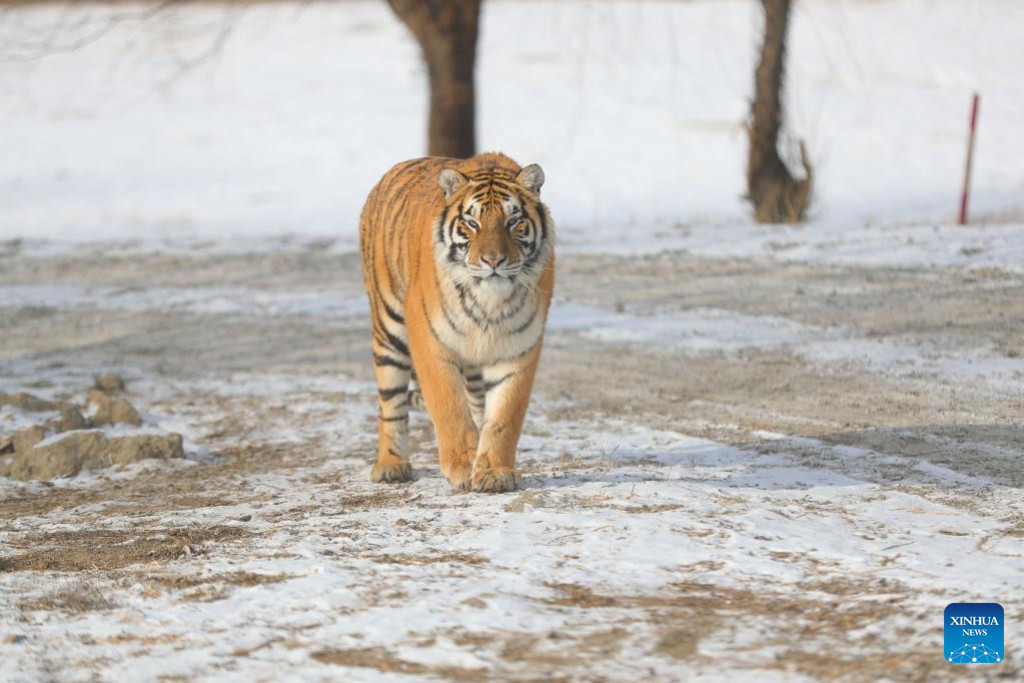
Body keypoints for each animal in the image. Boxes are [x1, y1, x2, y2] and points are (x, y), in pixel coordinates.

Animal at [358, 150, 552, 491]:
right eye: (472, 223)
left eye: (513, 221)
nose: (493, 260)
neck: (489, 302)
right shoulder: (429, 341)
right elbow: (449, 407)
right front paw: (462, 464)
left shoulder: (518, 350)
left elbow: (503, 417)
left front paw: (494, 470)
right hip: (389, 328)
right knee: (391, 403)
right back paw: (391, 465)